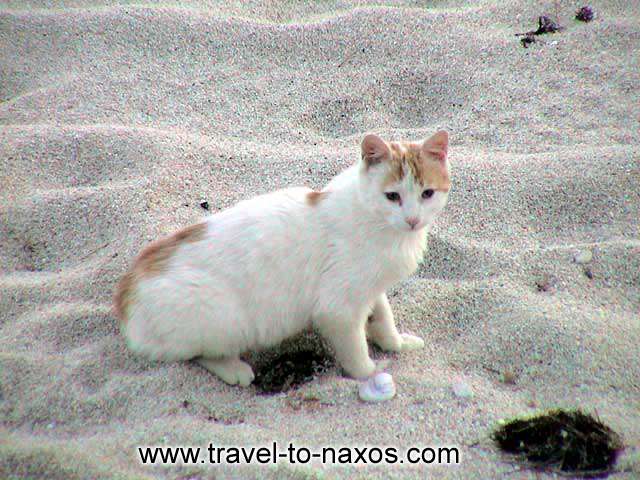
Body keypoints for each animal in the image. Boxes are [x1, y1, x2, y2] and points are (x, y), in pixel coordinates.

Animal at [116, 131, 456, 386]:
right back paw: (234, 369)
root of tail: (125, 294)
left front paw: (396, 343)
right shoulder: (338, 309)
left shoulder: (371, 288)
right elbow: (356, 350)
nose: (412, 220)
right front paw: (371, 373)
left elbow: (384, 316)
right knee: (199, 353)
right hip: (226, 318)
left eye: (427, 193)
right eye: (392, 196)